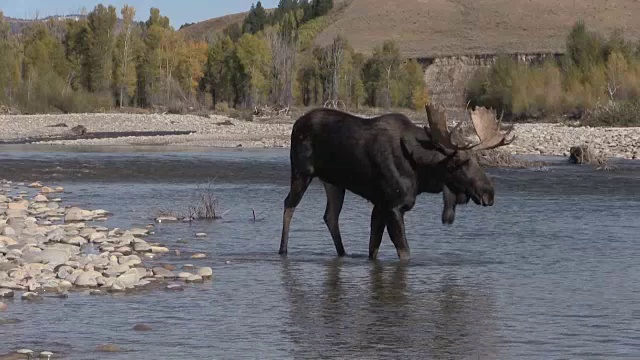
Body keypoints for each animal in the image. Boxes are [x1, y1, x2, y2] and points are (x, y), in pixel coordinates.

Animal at [278, 105, 516, 262]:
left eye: (477, 160)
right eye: (458, 163)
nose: (489, 193)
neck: (422, 174)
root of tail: (295, 125)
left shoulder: (380, 205)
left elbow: (373, 248)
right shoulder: (393, 205)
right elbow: (404, 252)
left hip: (334, 183)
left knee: (330, 216)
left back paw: (343, 253)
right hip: (301, 172)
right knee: (289, 205)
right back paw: (283, 250)